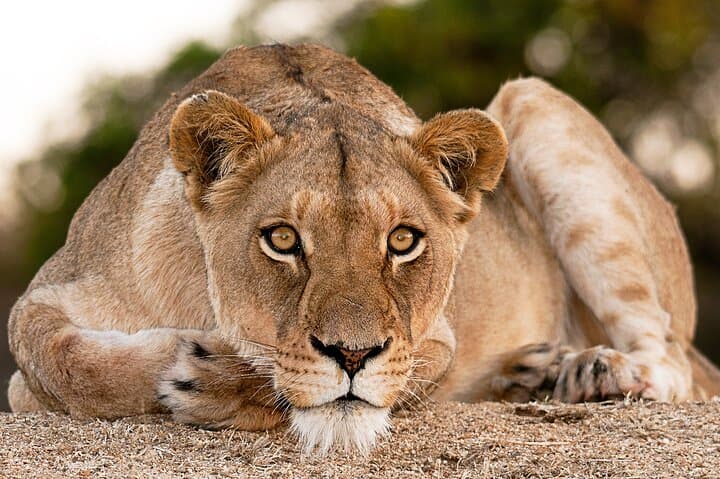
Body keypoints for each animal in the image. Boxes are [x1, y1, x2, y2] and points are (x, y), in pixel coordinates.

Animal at [7, 43, 720, 454]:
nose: (352, 355)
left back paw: (593, 373)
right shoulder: (50, 294)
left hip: (535, 101)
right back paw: (535, 373)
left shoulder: (435, 335)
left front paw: (215, 377)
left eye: (403, 240)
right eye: (283, 239)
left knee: (672, 363)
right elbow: (59, 358)